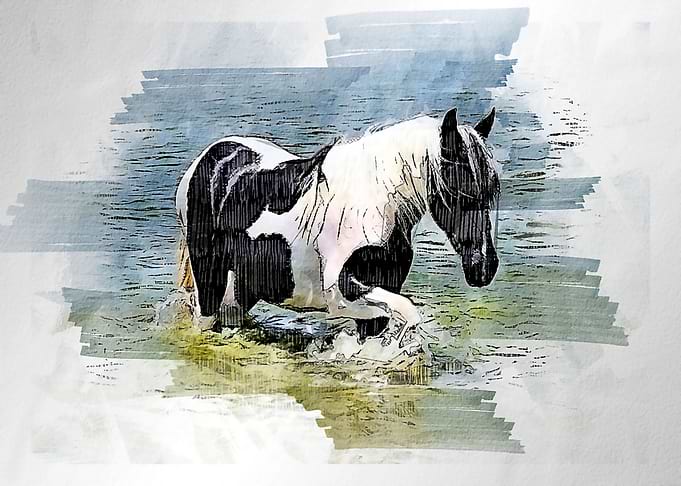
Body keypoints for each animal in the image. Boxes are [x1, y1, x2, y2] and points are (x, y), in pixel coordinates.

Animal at [175, 106, 500, 349]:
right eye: (457, 193)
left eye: (490, 193)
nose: (484, 267)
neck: (372, 205)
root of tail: (210, 157)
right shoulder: (342, 291)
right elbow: (406, 313)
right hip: (210, 283)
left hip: (242, 287)